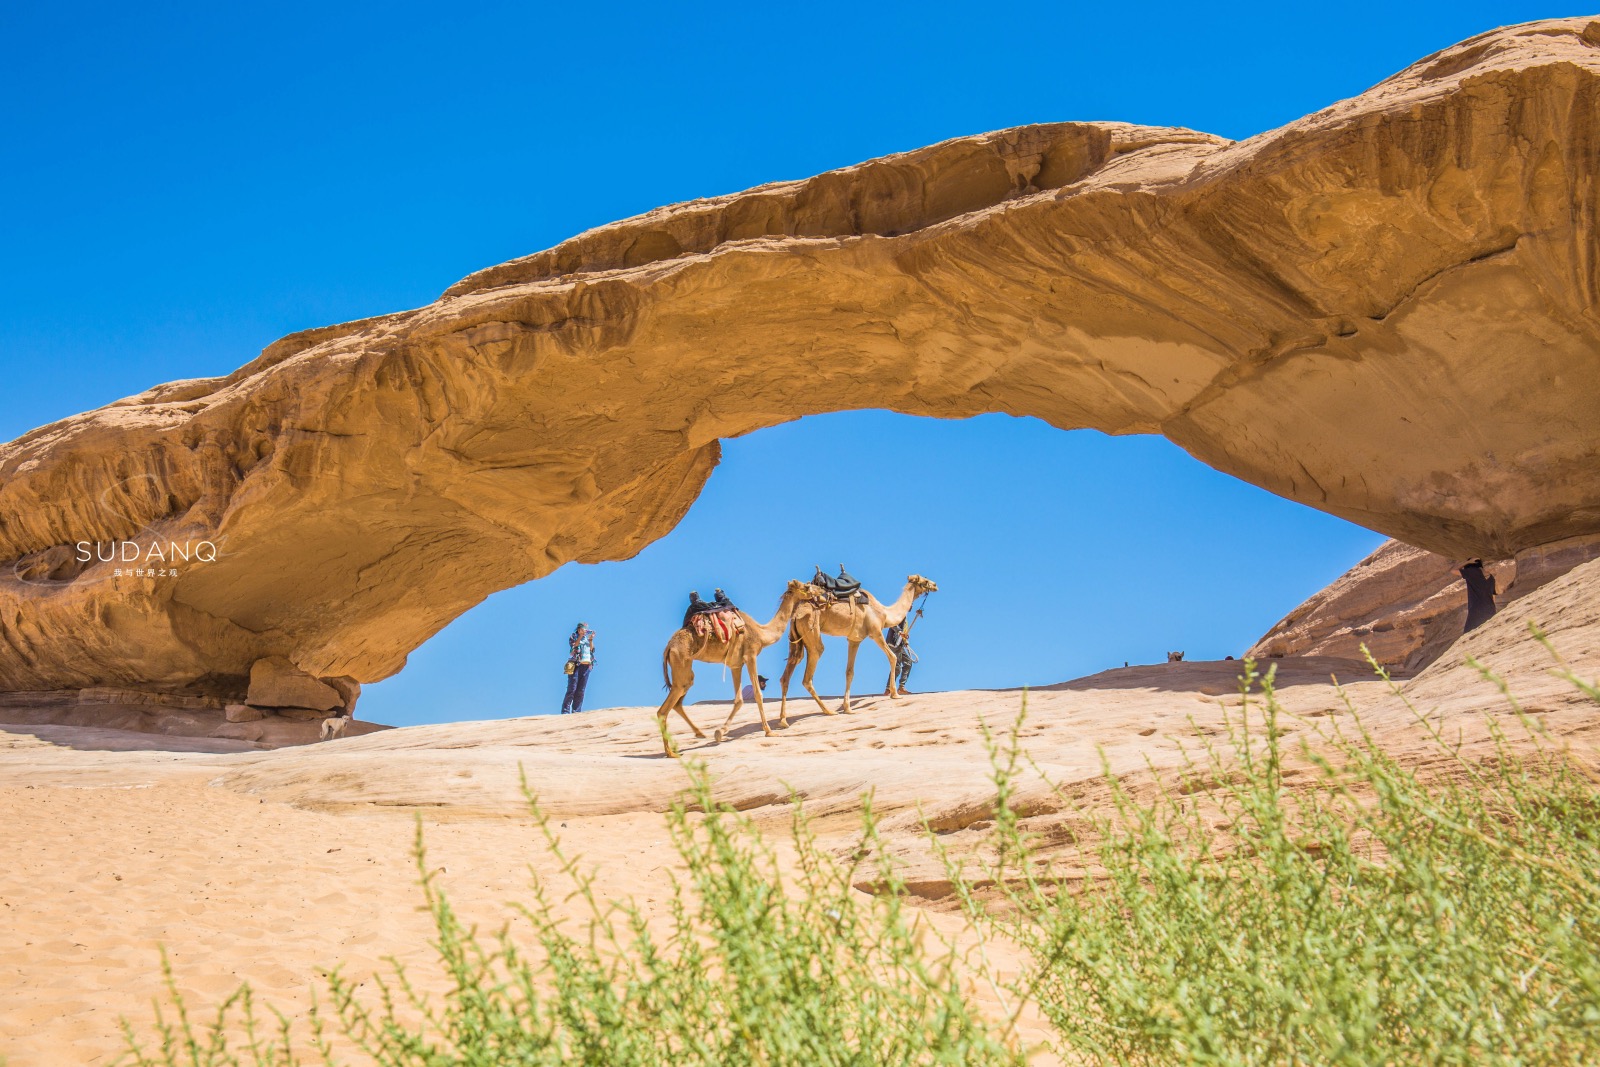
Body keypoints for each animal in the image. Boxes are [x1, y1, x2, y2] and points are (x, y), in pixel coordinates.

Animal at [656, 579, 825, 755]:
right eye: (807, 586)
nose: (821, 590)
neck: (761, 633)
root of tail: (668, 647)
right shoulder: (751, 655)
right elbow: (757, 694)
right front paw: (769, 731)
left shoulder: (735, 664)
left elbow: (738, 700)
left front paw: (719, 732)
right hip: (681, 662)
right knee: (663, 709)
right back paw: (670, 753)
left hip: (684, 670)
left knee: (680, 697)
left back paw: (699, 733)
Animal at [777, 572, 934, 723]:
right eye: (924, 581)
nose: (935, 585)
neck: (884, 612)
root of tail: (796, 614)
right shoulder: (876, 632)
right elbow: (893, 657)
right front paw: (895, 695)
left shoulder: (854, 640)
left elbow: (849, 672)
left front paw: (847, 708)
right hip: (811, 627)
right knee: (809, 671)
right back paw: (828, 711)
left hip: (795, 638)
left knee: (787, 673)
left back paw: (783, 720)